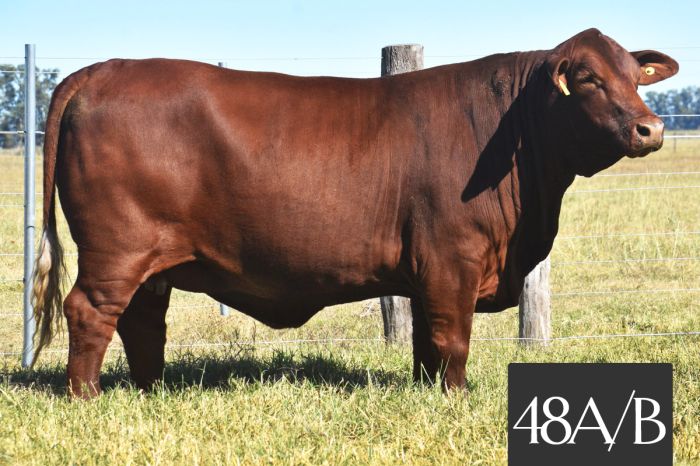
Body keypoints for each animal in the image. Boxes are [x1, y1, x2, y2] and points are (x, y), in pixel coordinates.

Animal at [31, 28, 678, 398]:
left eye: (635, 75)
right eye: (588, 78)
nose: (650, 128)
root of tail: (102, 69)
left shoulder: (428, 272)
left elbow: (426, 342)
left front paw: (427, 394)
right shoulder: (453, 258)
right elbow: (453, 338)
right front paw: (458, 400)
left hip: (152, 260)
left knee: (143, 320)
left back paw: (152, 392)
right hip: (117, 248)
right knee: (91, 311)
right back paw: (87, 397)